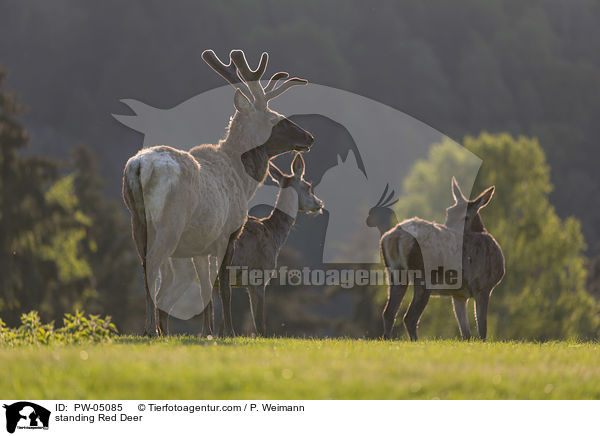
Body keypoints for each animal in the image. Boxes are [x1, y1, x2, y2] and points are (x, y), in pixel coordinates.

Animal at [119, 47, 312, 336]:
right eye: (274, 118)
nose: (309, 137)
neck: (244, 182)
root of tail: (139, 166)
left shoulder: (202, 244)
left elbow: (206, 290)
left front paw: (207, 332)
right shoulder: (228, 233)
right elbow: (223, 288)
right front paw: (228, 331)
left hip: (137, 221)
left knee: (145, 267)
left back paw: (152, 328)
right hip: (169, 221)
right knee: (153, 265)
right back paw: (151, 329)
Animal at [382, 177, 504, 340]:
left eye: (465, 216)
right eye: (448, 212)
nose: (448, 228)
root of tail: (396, 237)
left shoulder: (459, 294)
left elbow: (466, 334)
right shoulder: (483, 286)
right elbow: (482, 331)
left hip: (394, 271)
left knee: (389, 313)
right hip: (424, 274)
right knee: (409, 318)